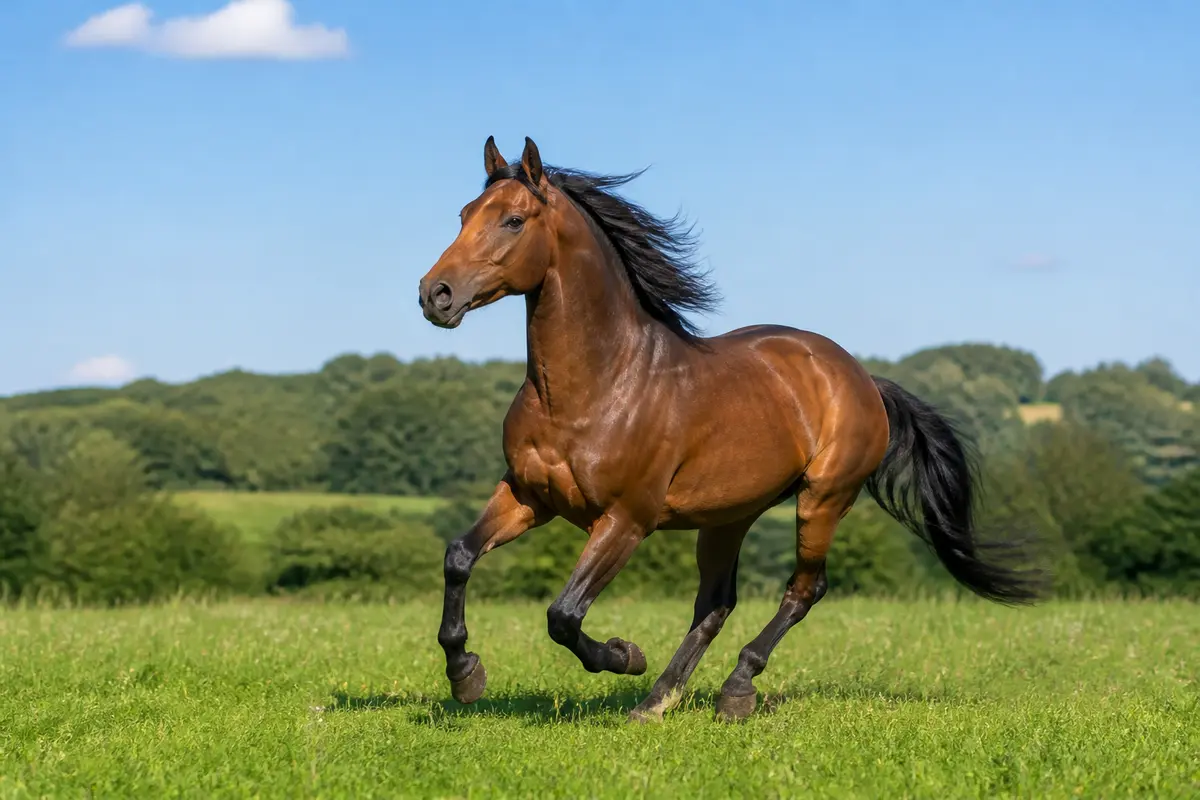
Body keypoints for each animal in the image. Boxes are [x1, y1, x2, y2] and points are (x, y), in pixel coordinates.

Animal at [417, 136, 1042, 723]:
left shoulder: (626, 519)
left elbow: (563, 616)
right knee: (716, 602)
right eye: (464, 214)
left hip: (823, 499)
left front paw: (624, 655)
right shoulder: (529, 494)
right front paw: (465, 675)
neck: (593, 386)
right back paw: (658, 700)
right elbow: (458, 557)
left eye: (513, 220)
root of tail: (862, 378)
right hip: (729, 516)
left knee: (803, 590)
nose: (434, 295)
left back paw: (734, 690)